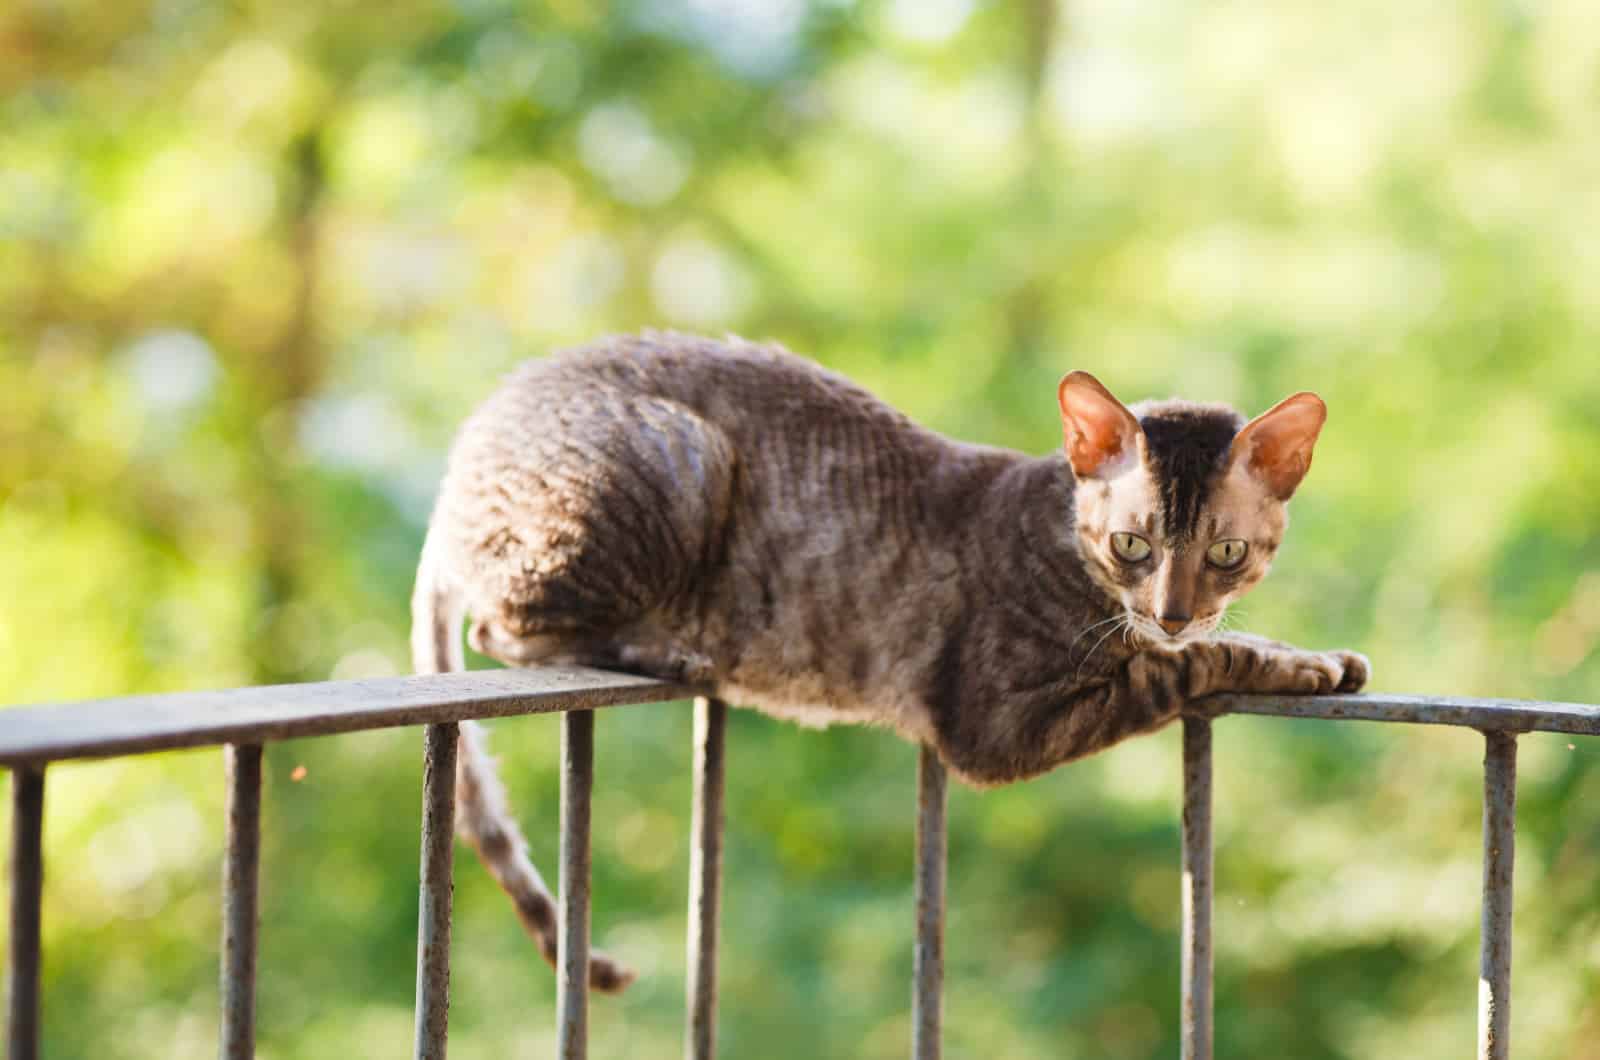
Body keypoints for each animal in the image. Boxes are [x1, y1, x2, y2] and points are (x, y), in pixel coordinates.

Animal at [409, 334, 1363, 999]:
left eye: (1228, 553)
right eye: (1132, 544)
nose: (1171, 607)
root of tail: (456, 469)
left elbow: (1209, 644)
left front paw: (1311, 654)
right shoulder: (993, 724)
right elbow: (1185, 664)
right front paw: (1281, 663)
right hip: (680, 454)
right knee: (505, 627)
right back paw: (662, 646)